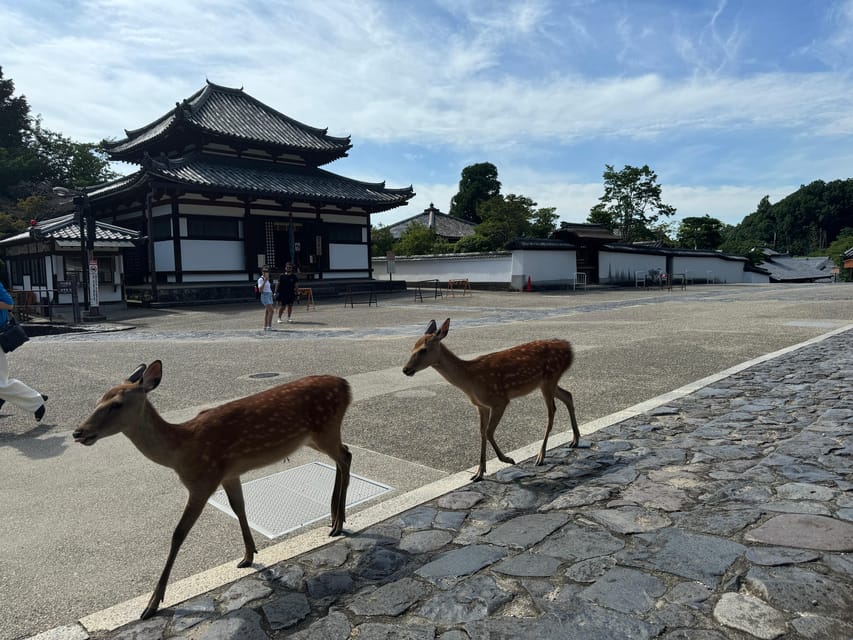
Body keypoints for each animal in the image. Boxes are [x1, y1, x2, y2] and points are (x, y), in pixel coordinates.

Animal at [74, 360, 352, 620]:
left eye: (116, 404)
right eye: (98, 400)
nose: (78, 432)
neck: (180, 452)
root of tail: (346, 385)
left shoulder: (202, 482)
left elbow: (178, 534)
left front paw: (152, 605)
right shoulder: (229, 474)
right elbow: (239, 507)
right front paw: (248, 556)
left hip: (325, 428)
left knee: (345, 457)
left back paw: (338, 522)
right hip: (313, 437)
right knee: (345, 453)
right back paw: (334, 518)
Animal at [402, 318, 580, 482]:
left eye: (423, 350)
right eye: (412, 347)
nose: (405, 369)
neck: (470, 379)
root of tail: (570, 349)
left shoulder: (499, 400)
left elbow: (488, 432)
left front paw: (507, 459)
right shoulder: (481, 406)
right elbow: (481, 432)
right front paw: (479, 473)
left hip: (549, 378)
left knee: (551, 412)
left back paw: (541, 456)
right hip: (546, 382)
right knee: (568, 395)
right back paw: (575, 439)